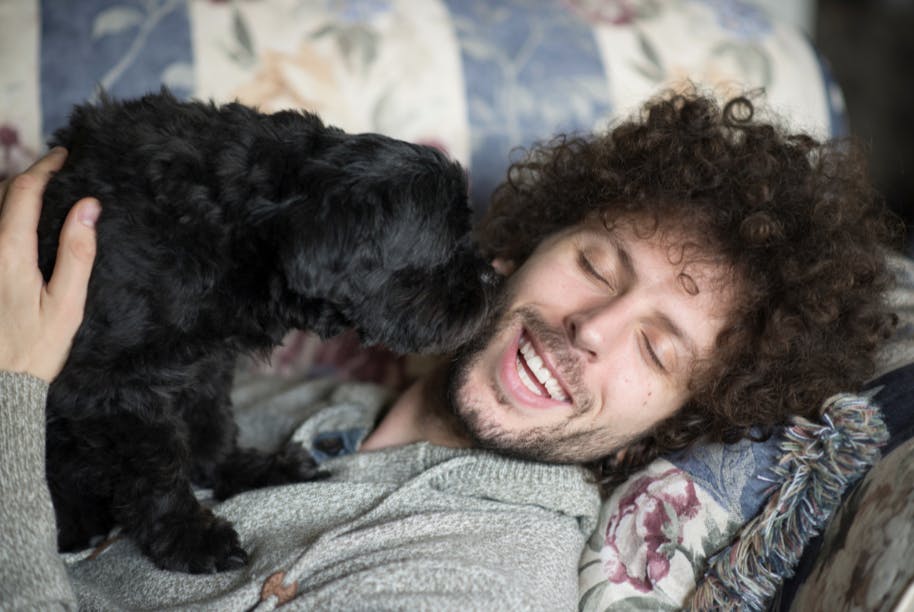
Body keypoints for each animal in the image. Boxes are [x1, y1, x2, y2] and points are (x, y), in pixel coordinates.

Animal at [35, 89, 496, 572]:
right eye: (445, 248)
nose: (492, 276)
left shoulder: (205, 361)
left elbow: (210, 424)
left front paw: (240, 472)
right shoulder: (115, 386)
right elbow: (156, 468)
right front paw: (191, 536)